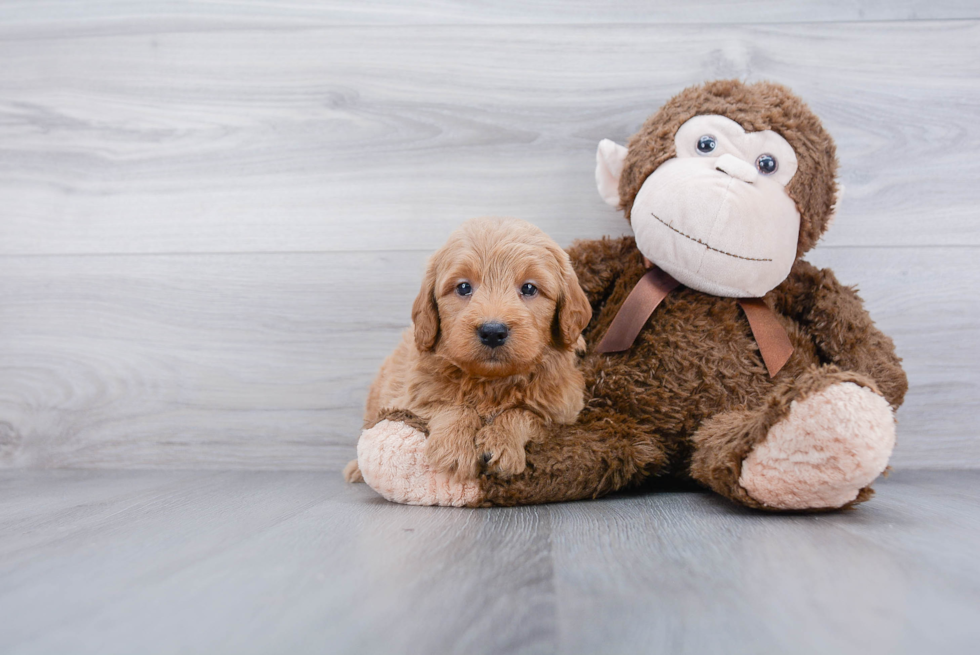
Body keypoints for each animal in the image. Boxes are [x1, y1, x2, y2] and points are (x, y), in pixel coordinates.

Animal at [344, 217, 588, 482]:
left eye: (530, 289)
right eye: (463, 287)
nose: (492, 331)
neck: (491, 383)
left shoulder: (562, 414)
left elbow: (523, 414)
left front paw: (501, 442)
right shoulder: (411, 398)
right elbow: (451, 404)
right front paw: (455, 448)